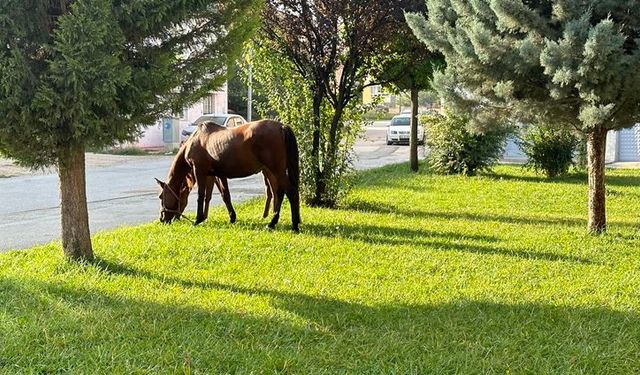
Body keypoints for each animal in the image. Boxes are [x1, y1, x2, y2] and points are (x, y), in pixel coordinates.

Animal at [158, 120, 302, 232]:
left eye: (161, 197)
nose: (162, 219)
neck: (196, 139)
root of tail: (281, 127)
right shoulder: (219, 175)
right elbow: (225, 195)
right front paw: (232, 217)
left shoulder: (199, 171)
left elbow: (201, 195)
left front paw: (198, 220)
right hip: (275, 171)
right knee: (280, 193)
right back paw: (273, 223)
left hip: (275, 170)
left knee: (291, 192)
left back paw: (292, 226)